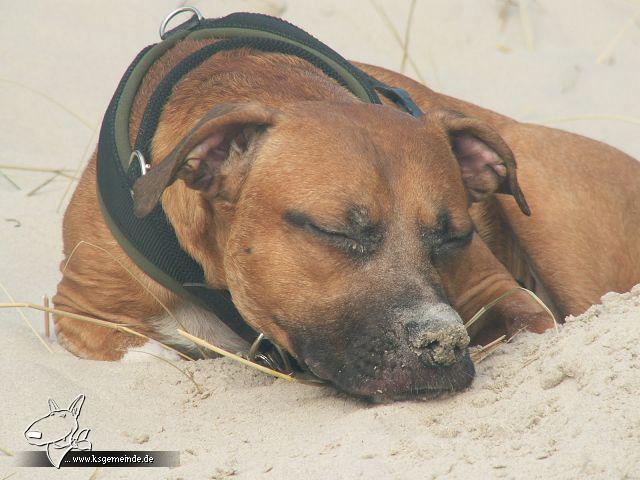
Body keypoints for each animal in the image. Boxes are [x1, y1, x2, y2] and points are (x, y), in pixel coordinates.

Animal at [53, 29, 640, 398]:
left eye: (454, 236)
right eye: (334, 232)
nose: (444, 343)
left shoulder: (501, 292)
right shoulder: (81, 308)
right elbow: (151, 352)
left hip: (539, 181)